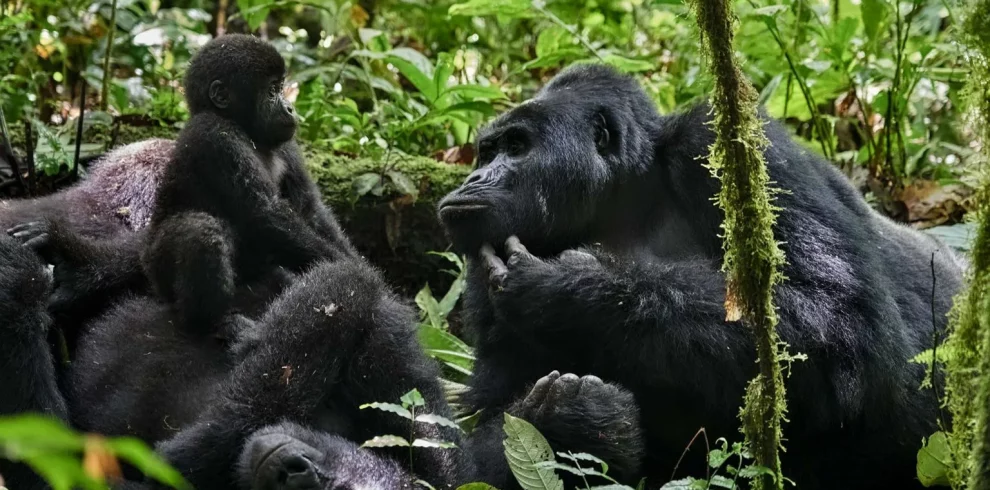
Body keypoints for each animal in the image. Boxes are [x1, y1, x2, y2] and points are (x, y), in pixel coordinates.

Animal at [141, 35, 354, 340]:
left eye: (281, 87)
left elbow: (311, 209)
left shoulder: (288, 144)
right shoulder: (214, 135)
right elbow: (264, 212)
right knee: (201, 232)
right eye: (272, 91)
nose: (290, 108)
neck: (241, 126)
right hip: (158, 274)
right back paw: (210, 322)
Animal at [438, 65, 964, 490]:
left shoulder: (729, 145)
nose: (471, 180)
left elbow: (841, 326)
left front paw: (569, 293)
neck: (625, 195)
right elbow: (476, 439)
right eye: (485, 152)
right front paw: (568, 421)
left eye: (517, 147)